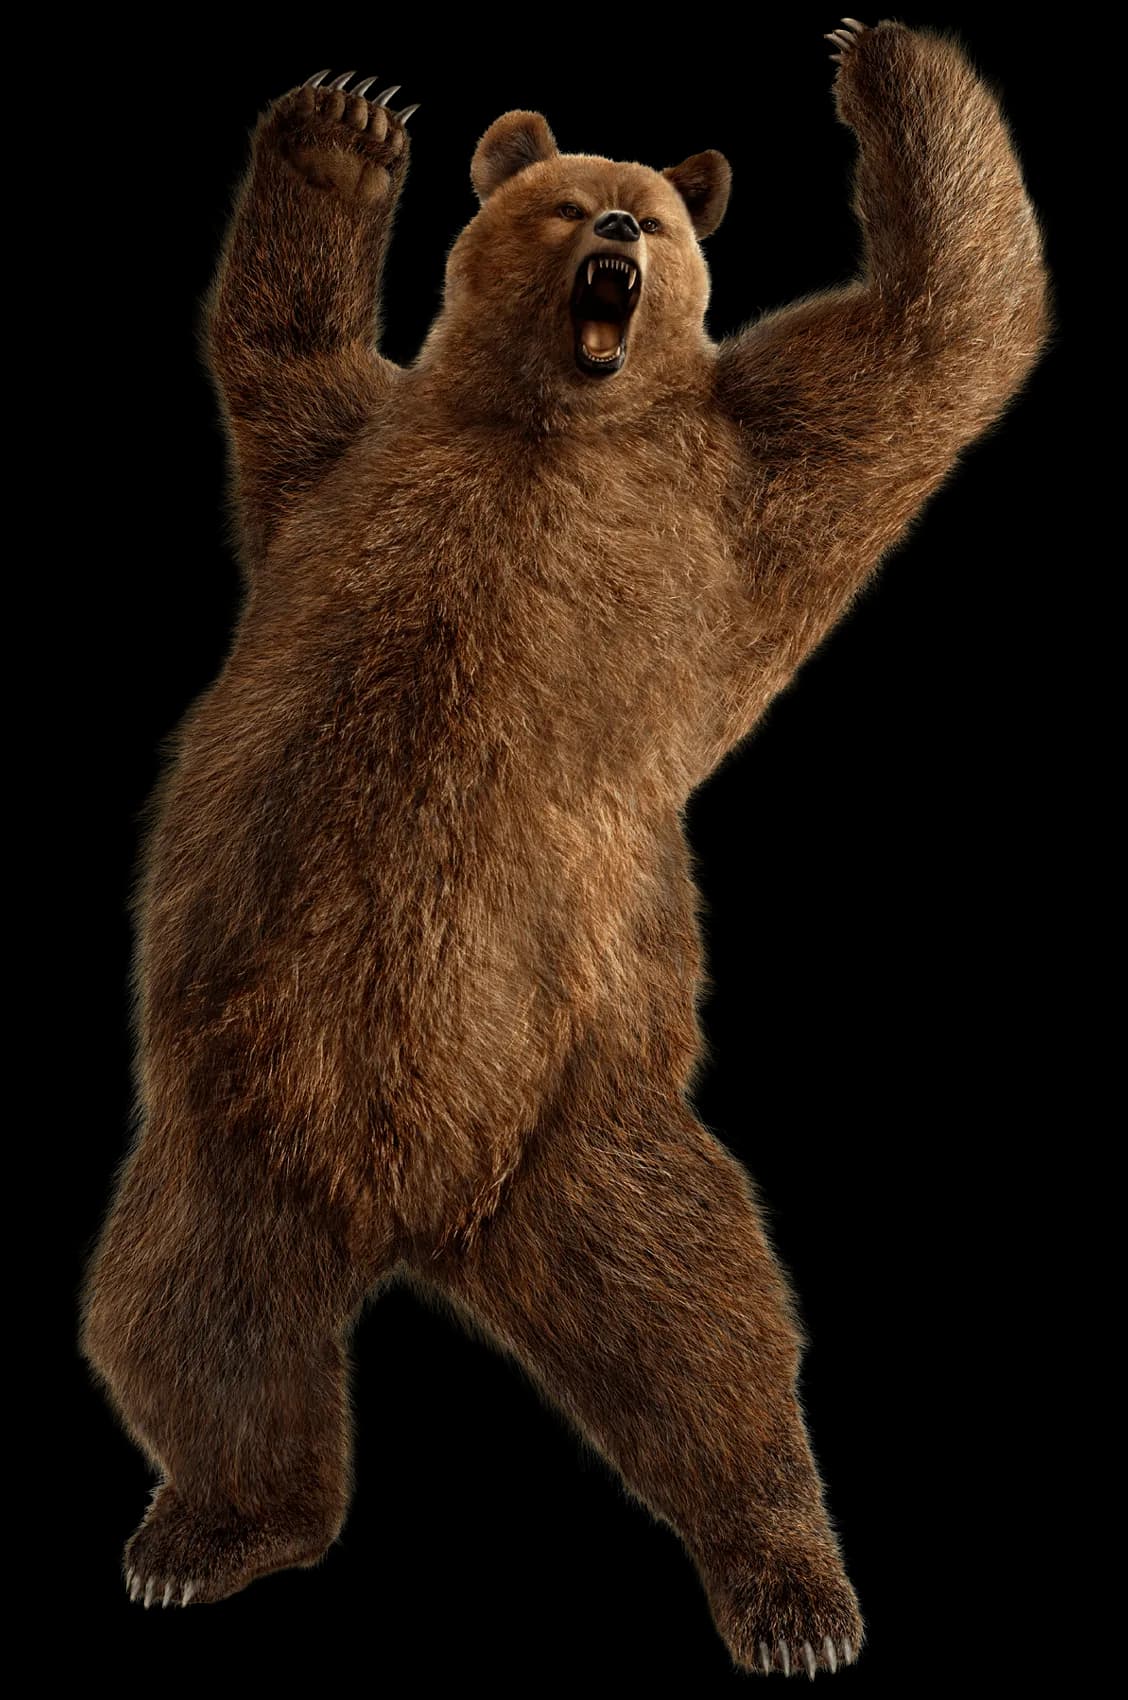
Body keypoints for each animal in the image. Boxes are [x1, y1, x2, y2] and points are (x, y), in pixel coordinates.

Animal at [78, 18, 1049, 1676]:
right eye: (560, 199)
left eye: (652, 211)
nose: (615, 233)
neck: (550, 420)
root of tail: (408, 1214)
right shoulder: (343, 466)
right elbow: (279, 360)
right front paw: (349, 126)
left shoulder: (738, 477)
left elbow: (933, 335)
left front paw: (878, 66)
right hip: (232, 1139)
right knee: (189, 1324)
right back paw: (204, 1534)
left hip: (580, 1120)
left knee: (707, 1325)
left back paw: (793, 1588)